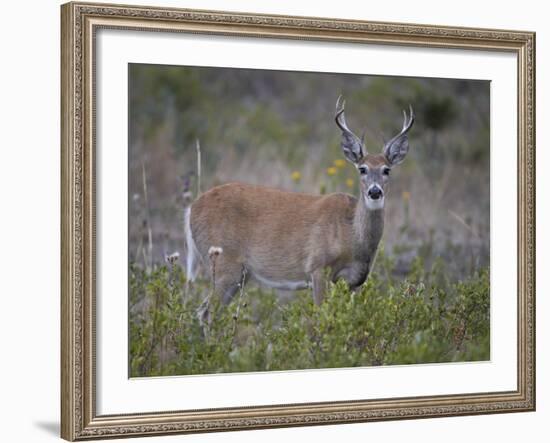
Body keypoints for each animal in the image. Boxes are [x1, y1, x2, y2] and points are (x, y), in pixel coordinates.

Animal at [185, 97, 414, 322]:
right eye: (362, 169)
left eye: (387, 170)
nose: (374, 192)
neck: (351, 235)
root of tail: (191, 209)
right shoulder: (318, 267)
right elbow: (321, 318)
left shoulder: (355, 281)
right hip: (223, 262)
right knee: (205, 312)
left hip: (240, 273)